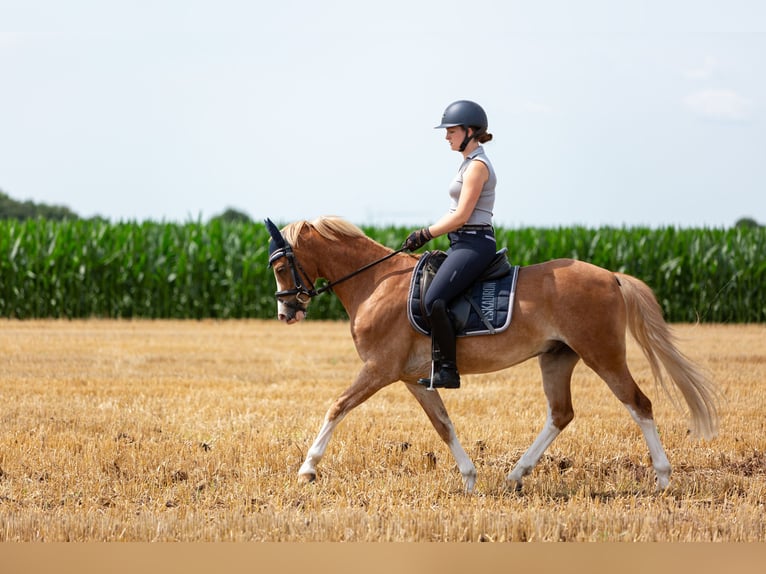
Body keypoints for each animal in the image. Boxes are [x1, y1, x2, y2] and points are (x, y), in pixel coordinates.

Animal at [266, 216, 720, 496]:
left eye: (280, 266)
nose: (286, 313)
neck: (376, 281)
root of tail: (611, 276)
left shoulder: (378, 369)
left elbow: (337, 407)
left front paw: (308, 469)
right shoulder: (413, 378)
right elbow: (443, 425)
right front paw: (469, 478)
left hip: (603, 354)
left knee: (638, 403)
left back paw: (663, 479)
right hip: (558, 358)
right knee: (561, 414)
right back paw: (515, 475)